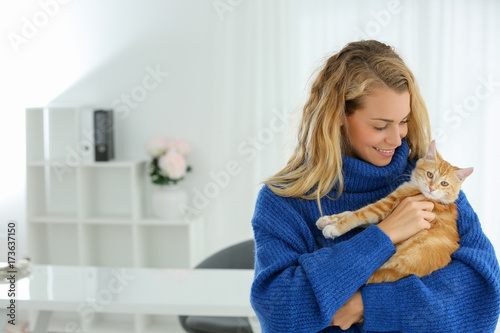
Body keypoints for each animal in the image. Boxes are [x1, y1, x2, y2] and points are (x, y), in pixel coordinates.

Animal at [316, 140, 472, 282]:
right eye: (430, 175)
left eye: (444, 183)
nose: (432, 188)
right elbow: (351, 213)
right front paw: (328, 220)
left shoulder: (385, 206)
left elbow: (358, 214)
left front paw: (335, 228)